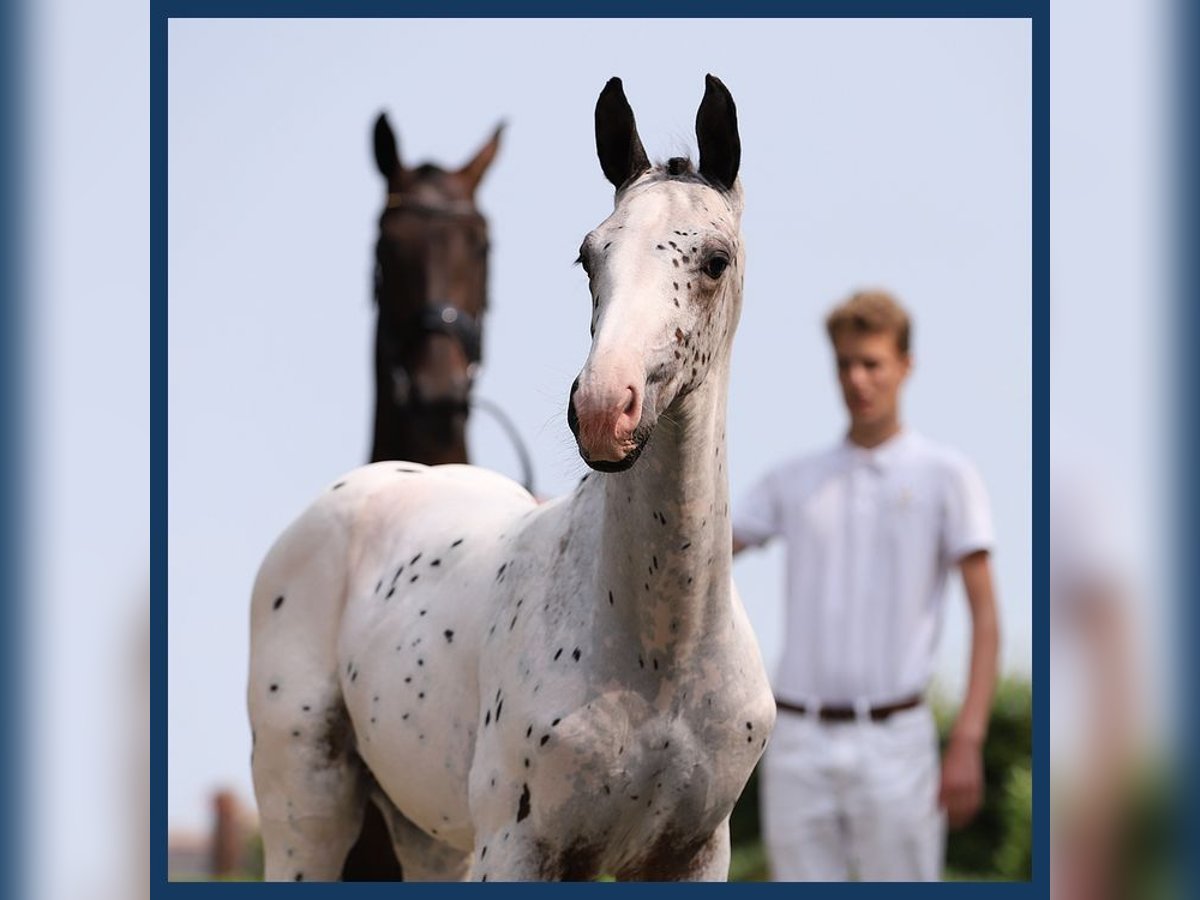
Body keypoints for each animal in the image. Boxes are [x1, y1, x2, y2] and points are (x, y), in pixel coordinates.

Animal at [250, 75, 777, 883]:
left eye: (715, 260)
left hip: (428, 836)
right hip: (308, 814)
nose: (604, 409)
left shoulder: (692, 853)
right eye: (590, 257)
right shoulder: (519, 847)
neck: (660, 653)